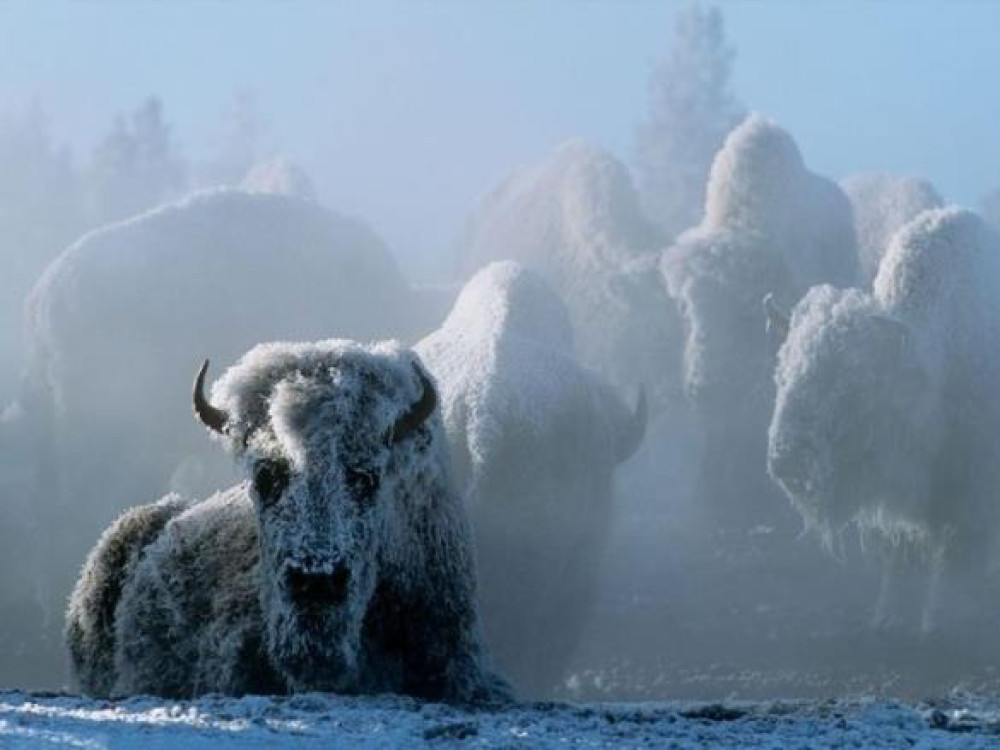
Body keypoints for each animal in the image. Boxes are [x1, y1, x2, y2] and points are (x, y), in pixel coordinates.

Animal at [768, 207, 1000, 636]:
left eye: (848, 384)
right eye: (782, 372)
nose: (786, 461)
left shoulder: (971, 502)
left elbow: (953, 565)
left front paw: (939, 622)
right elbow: (898, 559)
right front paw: (886, 617)